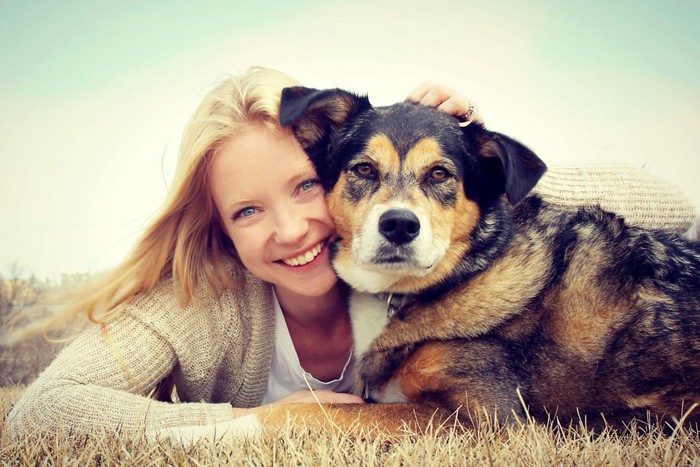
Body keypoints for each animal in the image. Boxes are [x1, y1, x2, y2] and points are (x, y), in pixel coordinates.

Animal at [264, 85, 700, 436]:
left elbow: (319, 412)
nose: (399, 225)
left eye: (440, 174)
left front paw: (247, 424)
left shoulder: (489, 418)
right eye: (364, 168)